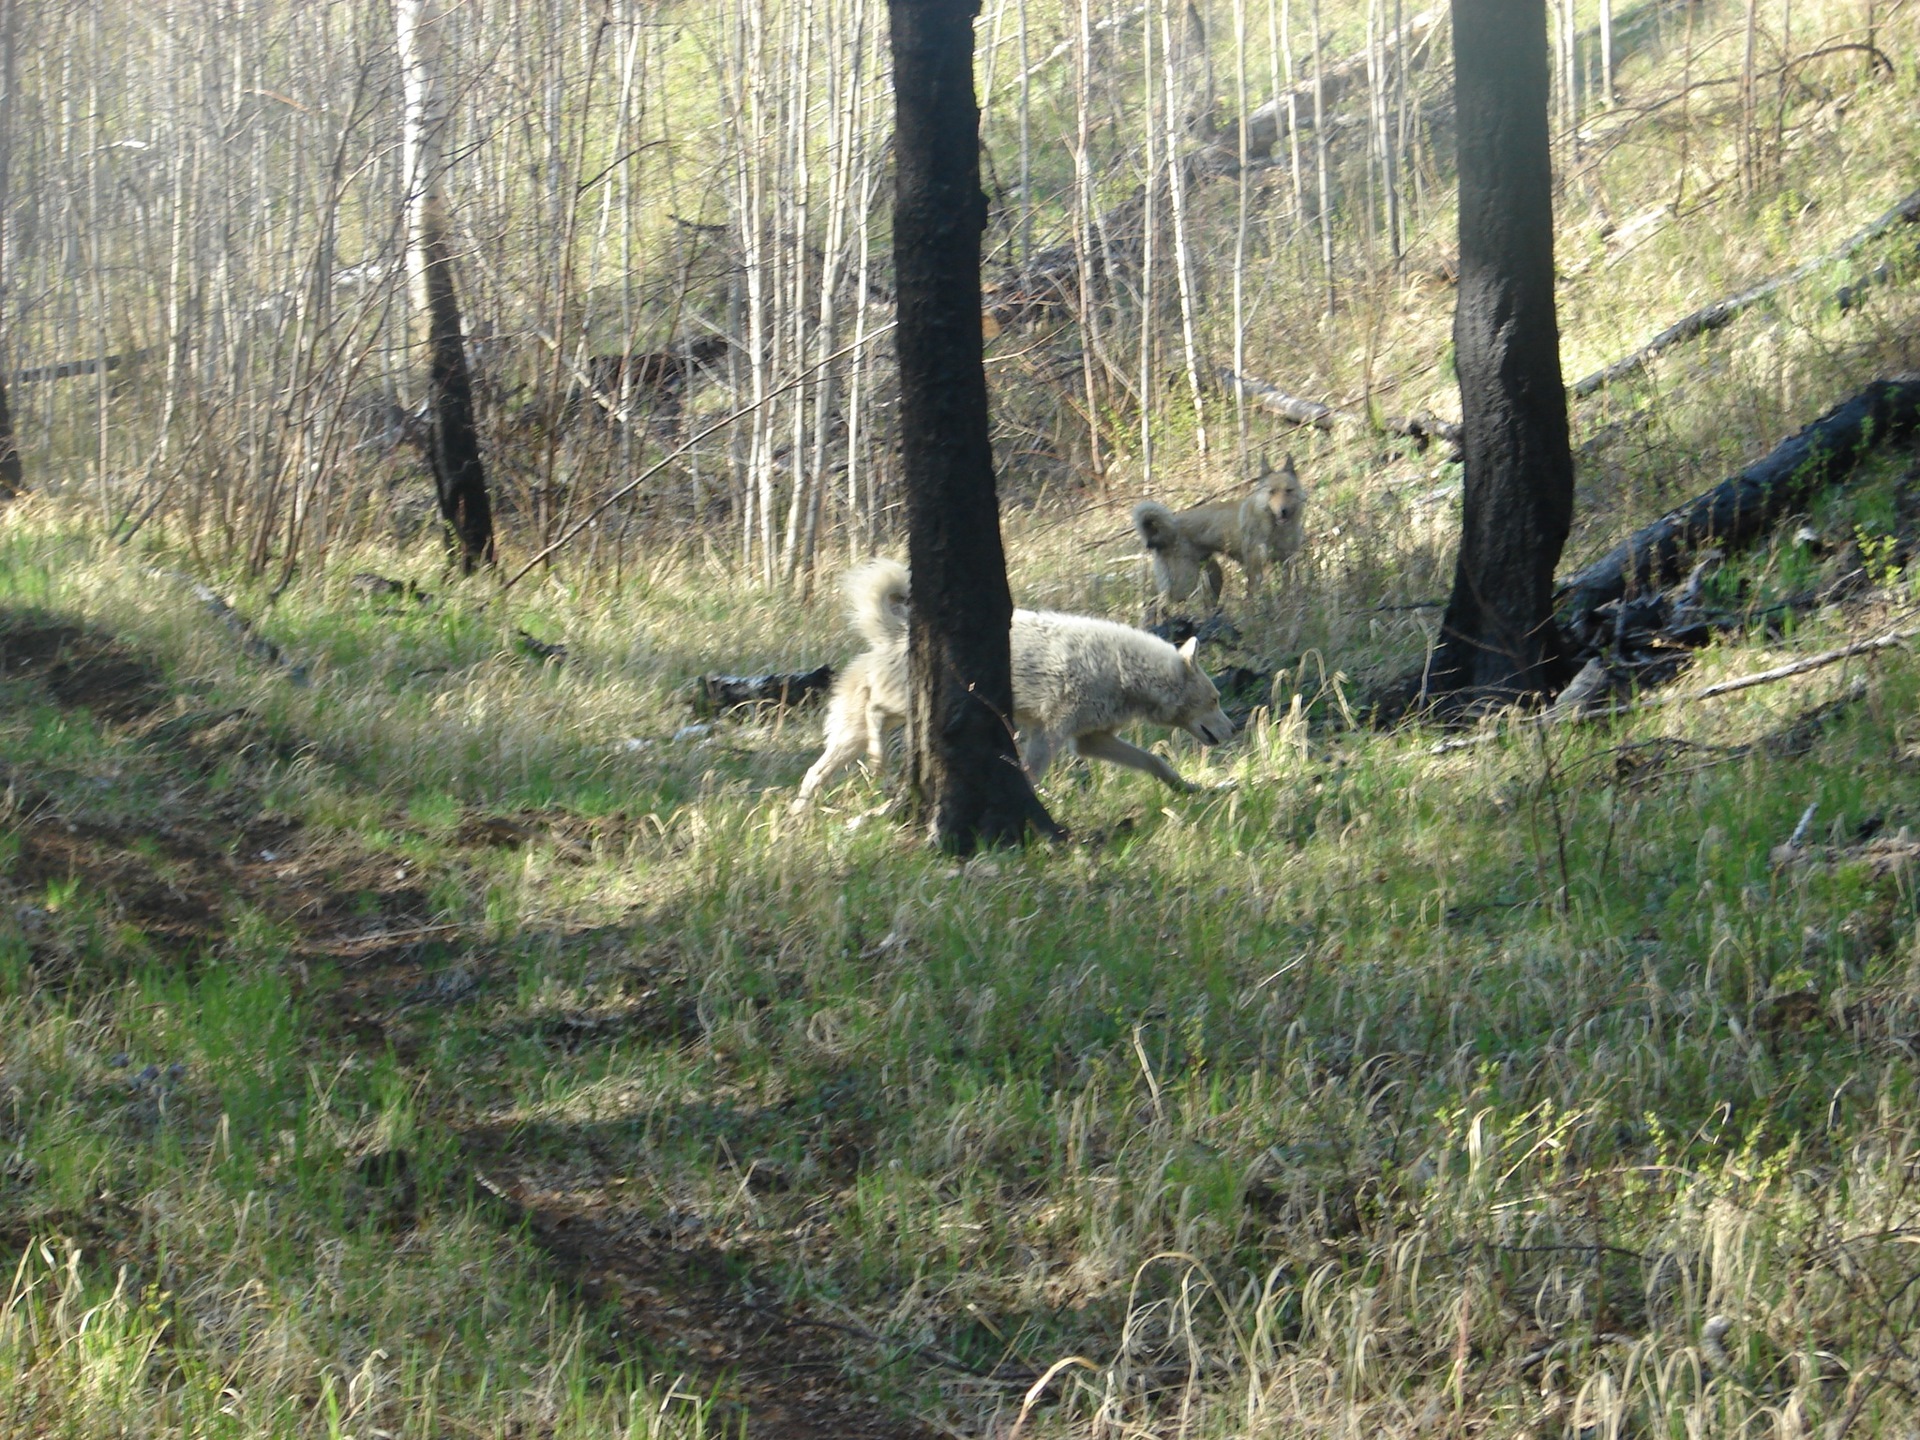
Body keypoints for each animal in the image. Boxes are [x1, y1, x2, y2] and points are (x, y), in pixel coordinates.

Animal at [791, 560, 1228, 814]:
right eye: (1215, 700)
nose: (1235, 728)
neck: (1121, 669)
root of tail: (897, 633)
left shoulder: (1090, 741)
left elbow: (1156, 762)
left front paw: (1189, 790)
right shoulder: (1050, 735)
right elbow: (1030, 775)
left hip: (855, 738)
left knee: (813, 773)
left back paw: (799, 817)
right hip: (896, 711)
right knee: (874, 715)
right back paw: (878, 759)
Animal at [1128, 453, 1313, 606]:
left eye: (1288, 491)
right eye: (1272, 492)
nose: (1283, 511)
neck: (1274, 527)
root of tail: (1168, 530)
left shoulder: (1286, 562)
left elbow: (1286, 588)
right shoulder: (1255, 569)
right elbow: (1254, 595)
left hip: (1212, 576)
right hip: (1184, 584)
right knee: (1159, 604)